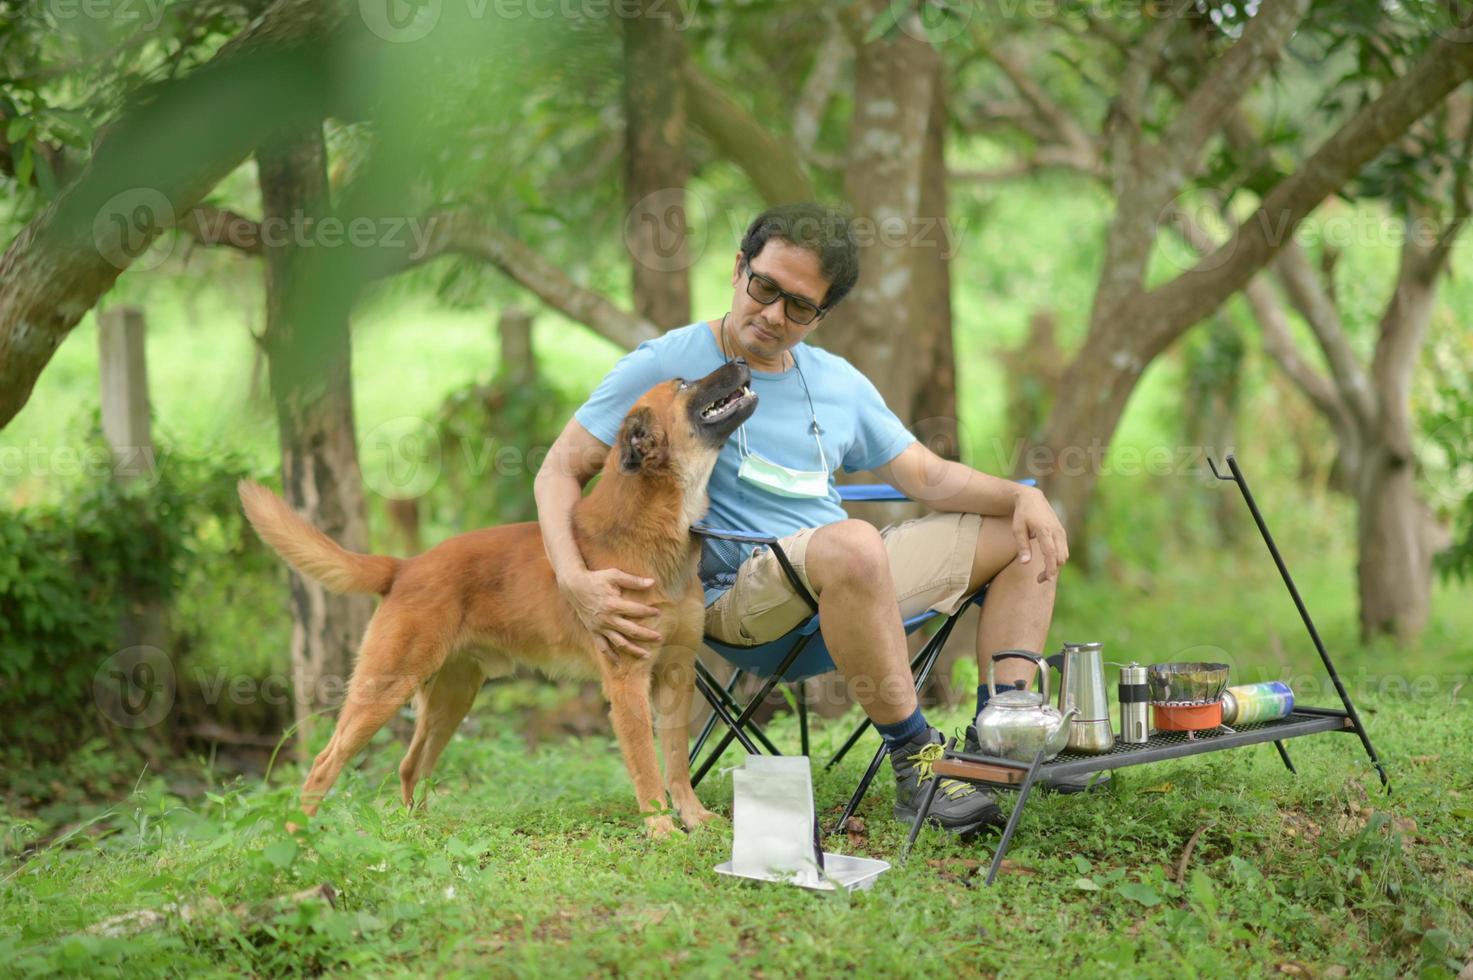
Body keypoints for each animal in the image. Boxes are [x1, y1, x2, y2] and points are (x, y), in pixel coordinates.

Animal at [238, 359, 760, 831]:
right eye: (683, 383)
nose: (740, 360)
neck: (648, 529)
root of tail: (405, 567)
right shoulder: (628, 683)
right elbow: (649, 770)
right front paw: (662, 831)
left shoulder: (676, 673)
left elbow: (676, 762)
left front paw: (692, 818)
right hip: (384, 689)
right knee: (323, 764)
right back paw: (299, 843)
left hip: (451, 697)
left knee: (410, 765)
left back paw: (415, 834)